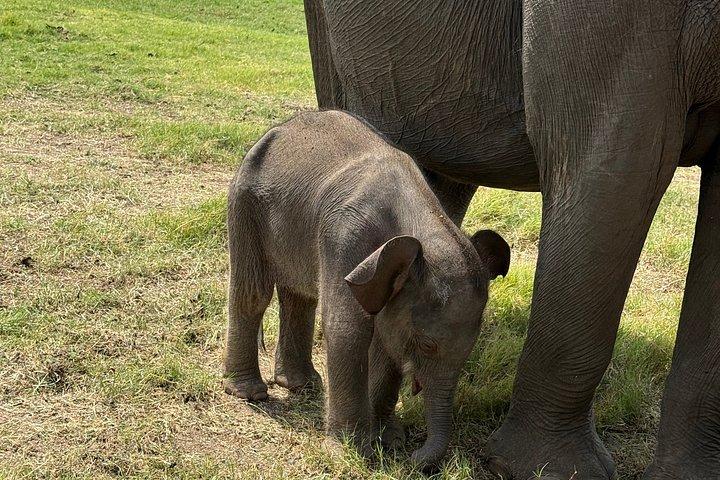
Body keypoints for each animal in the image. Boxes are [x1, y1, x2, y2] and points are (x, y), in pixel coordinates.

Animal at [223, 110, 511, 465]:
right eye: (427, 345)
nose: (413, 458)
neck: (424, 223)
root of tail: (279, 128)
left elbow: (388, 340)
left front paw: (389, 438)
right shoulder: (346, 237)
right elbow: (349, 328)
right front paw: (351, 451)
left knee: (299, 294)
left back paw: (301, 385)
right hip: (245, 202)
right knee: (253, 293)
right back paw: (249, 393)